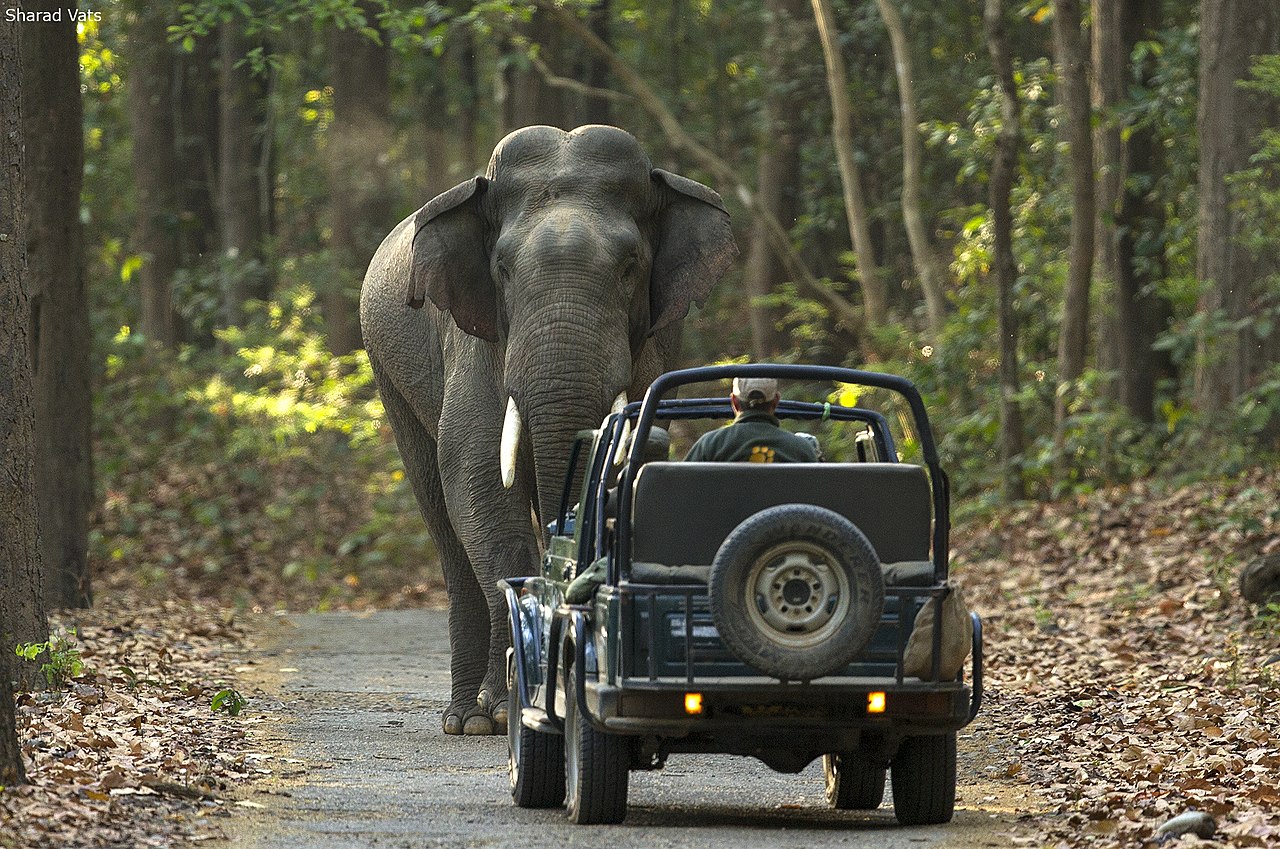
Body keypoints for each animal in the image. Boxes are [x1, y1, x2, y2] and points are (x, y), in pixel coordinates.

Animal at [360, 126, 742, 737]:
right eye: (502, 269)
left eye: (630, 266)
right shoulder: (477, 339)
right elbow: (478, 483)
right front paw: (500, 712)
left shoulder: (658, 341)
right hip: (389, 373)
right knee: (442, 515)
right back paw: (465, 719)